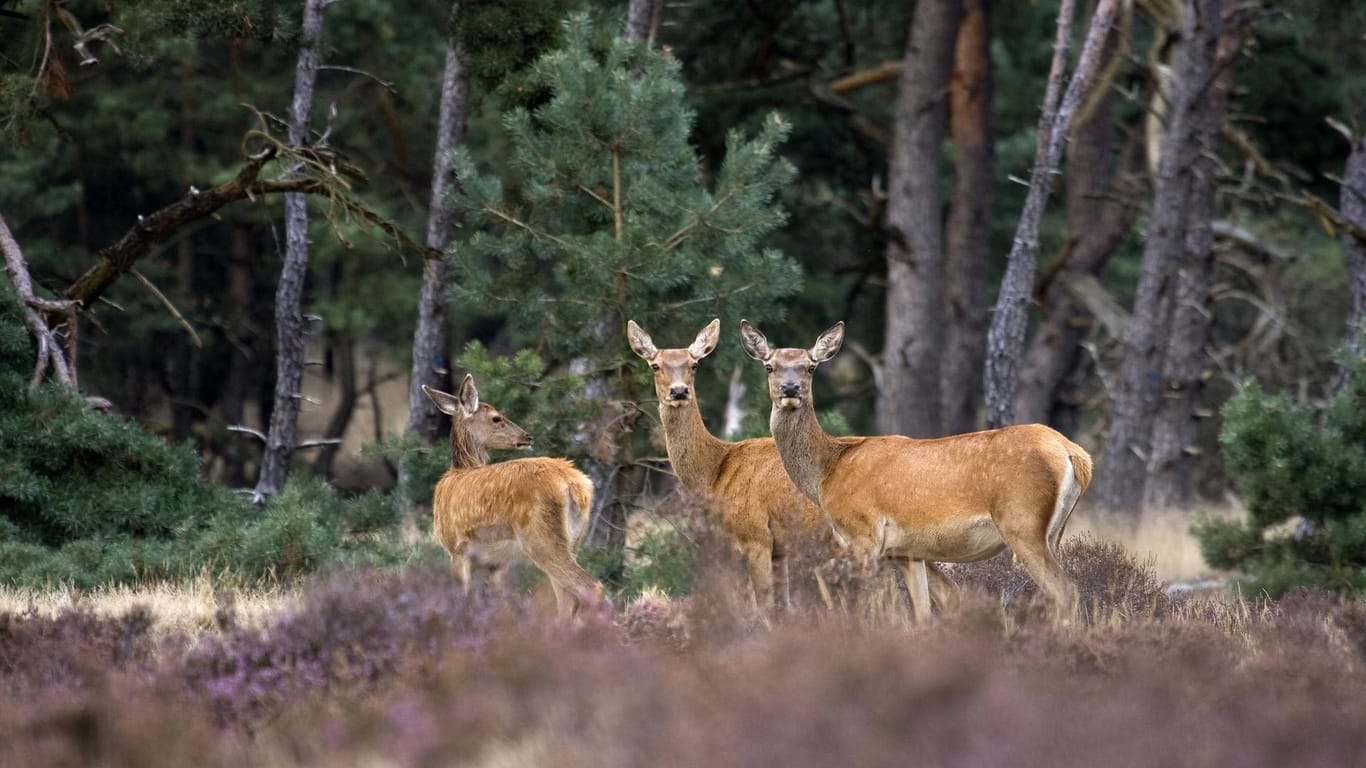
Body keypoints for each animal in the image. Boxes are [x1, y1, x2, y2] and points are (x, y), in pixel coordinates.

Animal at [420, 374, 603, 617]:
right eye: (496, 418)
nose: (527, 436)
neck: (462, 468)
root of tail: (575, 484)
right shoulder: (497, 563)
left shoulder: (457, 549)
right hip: (574, 540)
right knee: (568, 597)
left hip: (540, 537)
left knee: (589, 587)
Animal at [625, 315, 956, 609]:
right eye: (655, 365)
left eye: (694, 364)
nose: (679, 391)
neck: (716, 471)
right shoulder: (781, 550)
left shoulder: (755, 536)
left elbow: (764, 609)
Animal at [743, 319, 1092, 617]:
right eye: (770, 366)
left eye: (811, 367)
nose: (790, 388)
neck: (827, 472)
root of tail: (1074, 454)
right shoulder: (906, 552)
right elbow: (922, 613)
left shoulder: (862, 533)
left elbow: (866, 607)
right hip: (1054, 531)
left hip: (1023, 522)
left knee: (1065, 591)